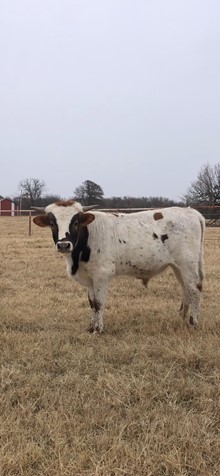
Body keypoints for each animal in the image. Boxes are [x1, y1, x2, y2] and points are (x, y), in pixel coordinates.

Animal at [32, 202, 205, 334]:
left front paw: (98, 329)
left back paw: (193, 322)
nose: (63, 245)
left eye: (75, 223)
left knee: (195, 290)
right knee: (186, 290)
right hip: (178, 267)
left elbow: (99, 303)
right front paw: (91, 327)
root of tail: (191, 212)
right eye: (52, 224)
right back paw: (181, 318)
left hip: (187, 264)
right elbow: (91, 303)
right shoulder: (90, 278)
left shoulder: (102, 275)